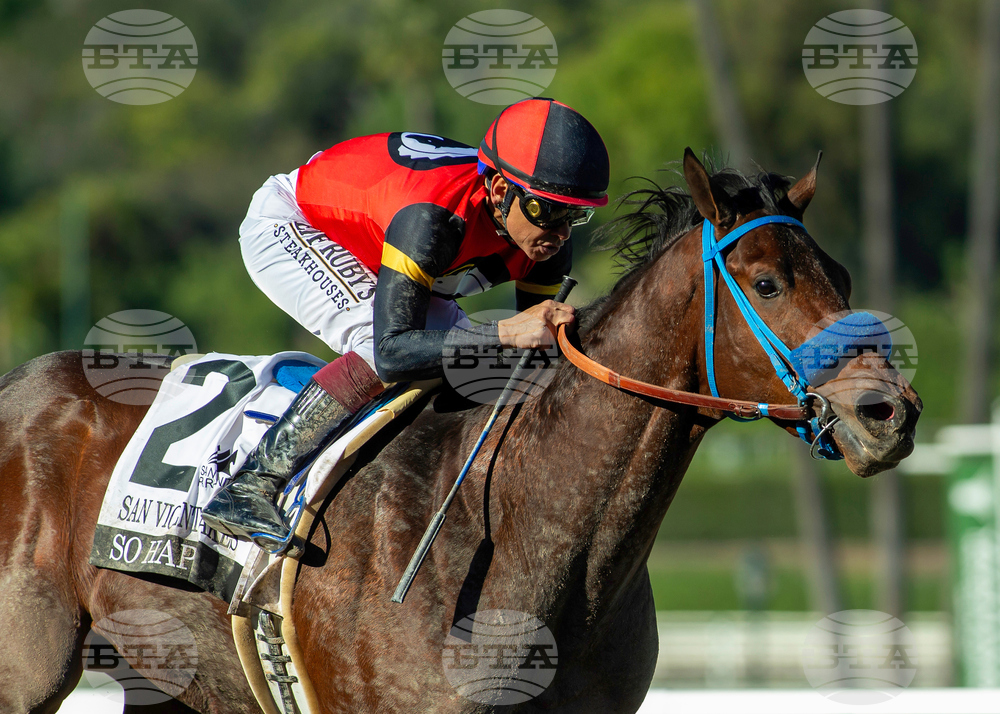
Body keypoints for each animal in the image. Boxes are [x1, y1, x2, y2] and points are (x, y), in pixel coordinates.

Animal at [0, 150, 920, 713]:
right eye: (766, 282)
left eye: (840, 277)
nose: (890, 411)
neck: (528, 524)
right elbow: (390, 337)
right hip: (28, 665)